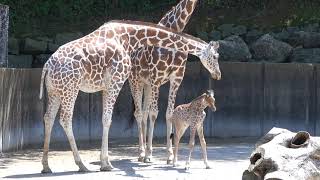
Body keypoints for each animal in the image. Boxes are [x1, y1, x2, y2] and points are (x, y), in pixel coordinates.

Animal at [39, 19, 220, 173]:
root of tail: (47, 65)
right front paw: (106, 163)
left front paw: (106, 161)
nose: (218, 74)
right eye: (215, 56)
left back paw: (46, 166)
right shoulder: (116, 82)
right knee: (65, 119)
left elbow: (106, 118)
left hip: (55, 91)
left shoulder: (106, 86)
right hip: (70, 89)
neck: (130, 38)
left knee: (48, 117)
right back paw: (81, 165)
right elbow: (107, 119)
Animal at [127, 0, 220, 163]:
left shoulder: (176, 78)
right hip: (135, 81)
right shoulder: (156, 77)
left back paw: (144, 151)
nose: (218, 75)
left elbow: (168, 113)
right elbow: (154, 114)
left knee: (143, 112)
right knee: (138, 113)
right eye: (215, 56)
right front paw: (150, 154)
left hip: (146, 84)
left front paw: (170, 155)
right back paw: (142, 153)